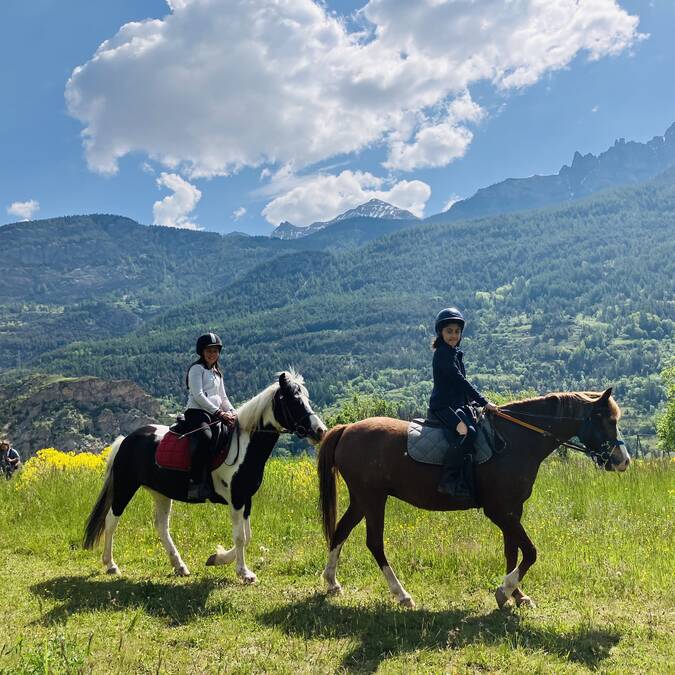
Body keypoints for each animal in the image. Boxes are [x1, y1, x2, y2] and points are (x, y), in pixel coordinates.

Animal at [84, 372, 328, 584]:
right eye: (294, 400)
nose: (320, 431)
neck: (245, 447)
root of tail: (126, 440)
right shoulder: (236, 499)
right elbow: (240, 537)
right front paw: (244, 573)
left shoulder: (246, 499)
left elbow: (247, 535)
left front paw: (217, 558)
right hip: (125, 486)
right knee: (111, 520)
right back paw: (111, 565)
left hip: (161, 493)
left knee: (162, 527)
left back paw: (180, 566)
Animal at [320, 388, 632, 608]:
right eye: (607, 420)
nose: (623, 461)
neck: (517, 440)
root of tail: (347, 429)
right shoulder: (499, 511)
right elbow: (530, 552)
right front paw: (504, 590)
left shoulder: (512, 510)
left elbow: (512, 551)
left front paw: (517, 595)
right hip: (373, 499)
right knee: (374, 543)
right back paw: (402, 595)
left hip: (362, 499)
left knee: (341, 531)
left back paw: (332, 582)